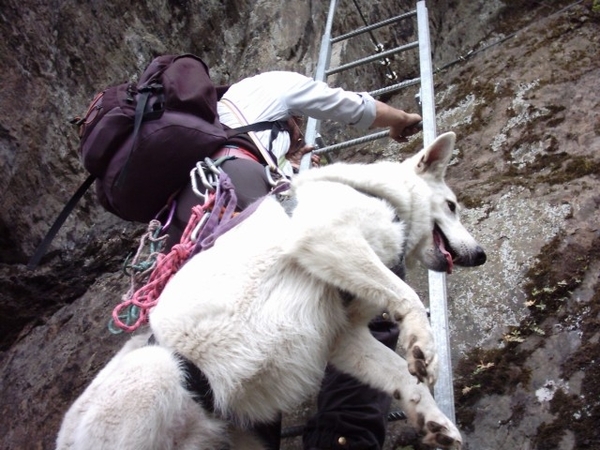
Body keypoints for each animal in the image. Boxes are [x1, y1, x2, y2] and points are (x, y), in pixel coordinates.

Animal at [56, 132, 486, 448]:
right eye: (452, 205)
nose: (480, 255)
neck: (386, 198)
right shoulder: (326, 235)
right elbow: (407, 298)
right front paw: (423, 345)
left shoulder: (343, 337)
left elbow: (400, 374)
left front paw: (433, 420)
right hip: (157, 373)